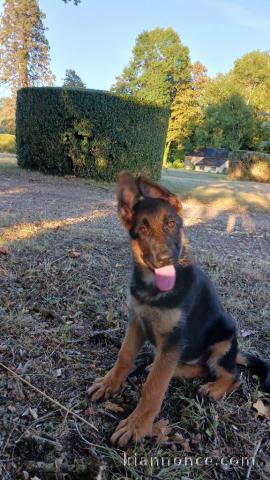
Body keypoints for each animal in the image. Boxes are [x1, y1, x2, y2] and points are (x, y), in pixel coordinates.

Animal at [89, 172, 270, 446]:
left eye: (172, 224)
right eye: (143, 229)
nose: (165, 258)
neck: (154, 288)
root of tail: (235, 351)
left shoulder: (173, 339)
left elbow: (153, 388)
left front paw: (137, 425)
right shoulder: (137, 323)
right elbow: (124, 357)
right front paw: (110, 384)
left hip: (222, 339)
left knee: (233, 375)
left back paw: (213, 388)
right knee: (198, 367)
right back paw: (177, 370)